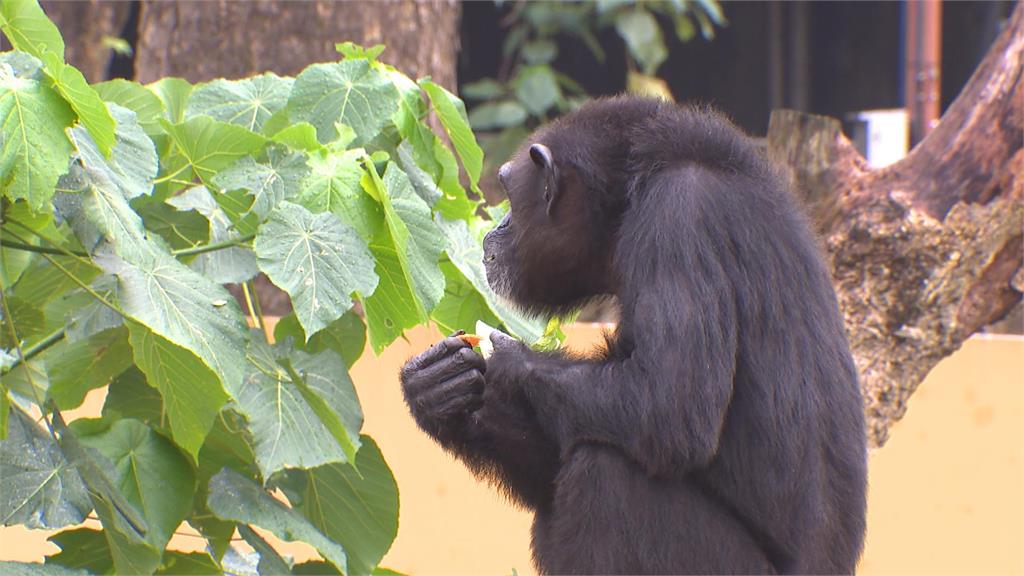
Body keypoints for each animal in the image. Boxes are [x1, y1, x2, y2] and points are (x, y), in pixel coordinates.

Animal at [397, 96, 864, 569]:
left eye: (510, 193)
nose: (498, 222)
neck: (630, 199)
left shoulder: (679, 219)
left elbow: (667, 405)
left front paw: (506, 358)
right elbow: (552, 463)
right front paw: (435, 387)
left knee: (605, 469)